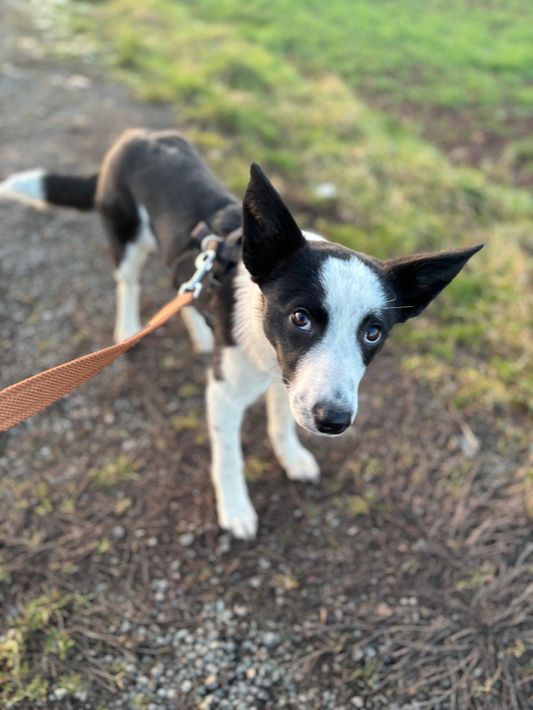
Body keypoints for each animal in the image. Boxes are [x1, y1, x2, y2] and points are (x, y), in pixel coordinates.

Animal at [0, 129, 482, 539]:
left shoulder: (291, 382)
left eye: (374, 333)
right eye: (300, 318)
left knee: (178, 284)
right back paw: (129, 328)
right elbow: (229, 457)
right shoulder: (227, 393)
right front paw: (235, 509)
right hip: (127, 237)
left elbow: (282, 422)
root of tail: (134, 136)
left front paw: (291, 457)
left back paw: (199, 330)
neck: (264, 345)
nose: (333, 421)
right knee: (129, 283)